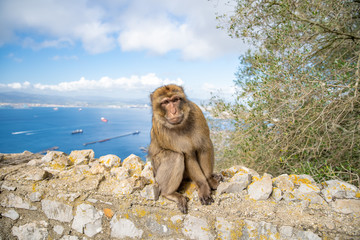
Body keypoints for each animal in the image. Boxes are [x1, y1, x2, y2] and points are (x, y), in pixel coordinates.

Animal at [148, 85, 221, 214]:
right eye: (165, 102)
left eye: (175, 100)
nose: (174, 111)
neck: (180, 125)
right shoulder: (161, 127)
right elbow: (188, 155)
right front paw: (203, 186)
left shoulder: (197, 113)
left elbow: (204, 146)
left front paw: (209, 179)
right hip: (157, 170)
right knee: (175, 156)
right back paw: (169, 193)